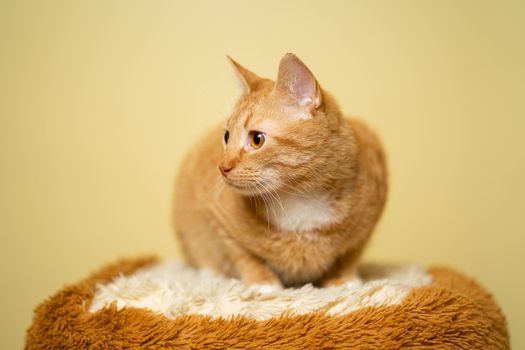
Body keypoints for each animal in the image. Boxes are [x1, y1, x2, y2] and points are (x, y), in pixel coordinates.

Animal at [174, 53, 386, 288]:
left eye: (257, 139)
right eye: (227, 136)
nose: (222, 167)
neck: (300, 199)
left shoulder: (373, 208)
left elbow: (352, 253)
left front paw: (343, 278)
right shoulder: (213, 213)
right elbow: (241, 253)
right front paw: (262, 280)